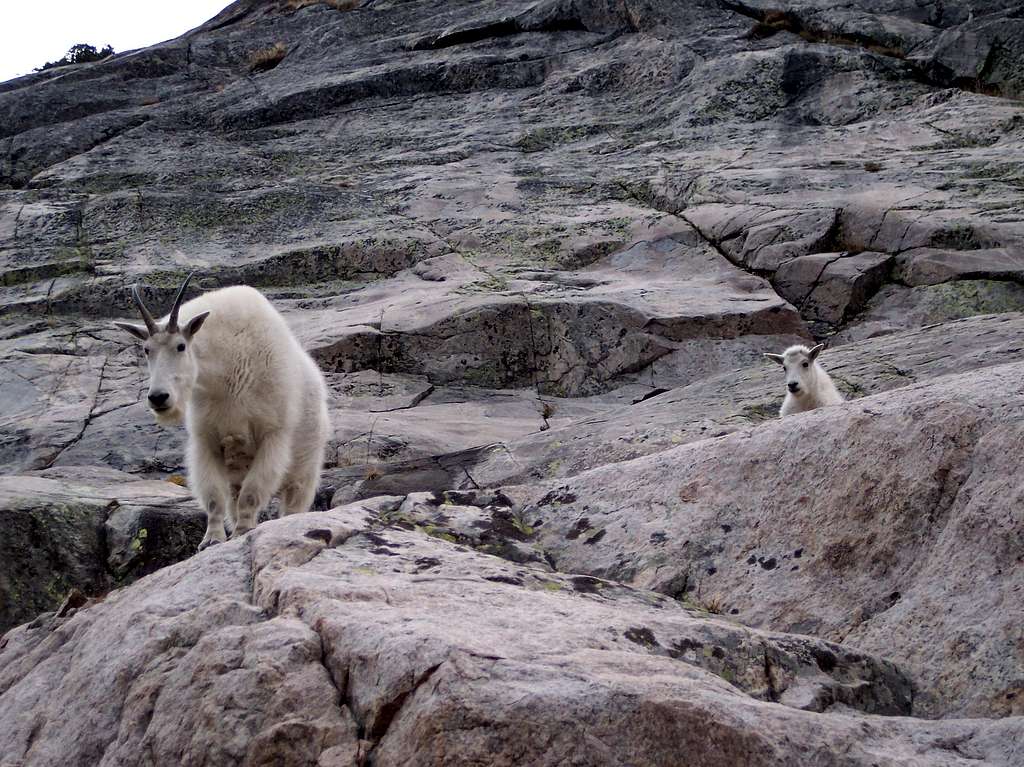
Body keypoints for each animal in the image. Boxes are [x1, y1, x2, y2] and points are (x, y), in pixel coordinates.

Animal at [117, 274, 331, 548]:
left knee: (294, 501)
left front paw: (243, 531)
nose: (158, 398)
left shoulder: (272, 436)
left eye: (181, 346)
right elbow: (213, 496)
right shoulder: (207, 440)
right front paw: (212, 539)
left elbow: (252, 492)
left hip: (305, 466)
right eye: (146, 350)